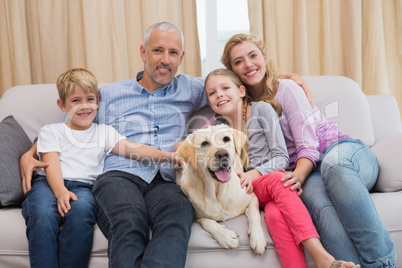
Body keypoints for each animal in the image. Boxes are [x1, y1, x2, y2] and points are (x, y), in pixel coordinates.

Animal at [177, 124, 266, 254]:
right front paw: (225, 236)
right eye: (204, 143)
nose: (222, 154)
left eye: (226, 139)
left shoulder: (252, 197)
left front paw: (258, 238)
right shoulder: (196, 216)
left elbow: (255, 215)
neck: (217, 191)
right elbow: (207, 221)